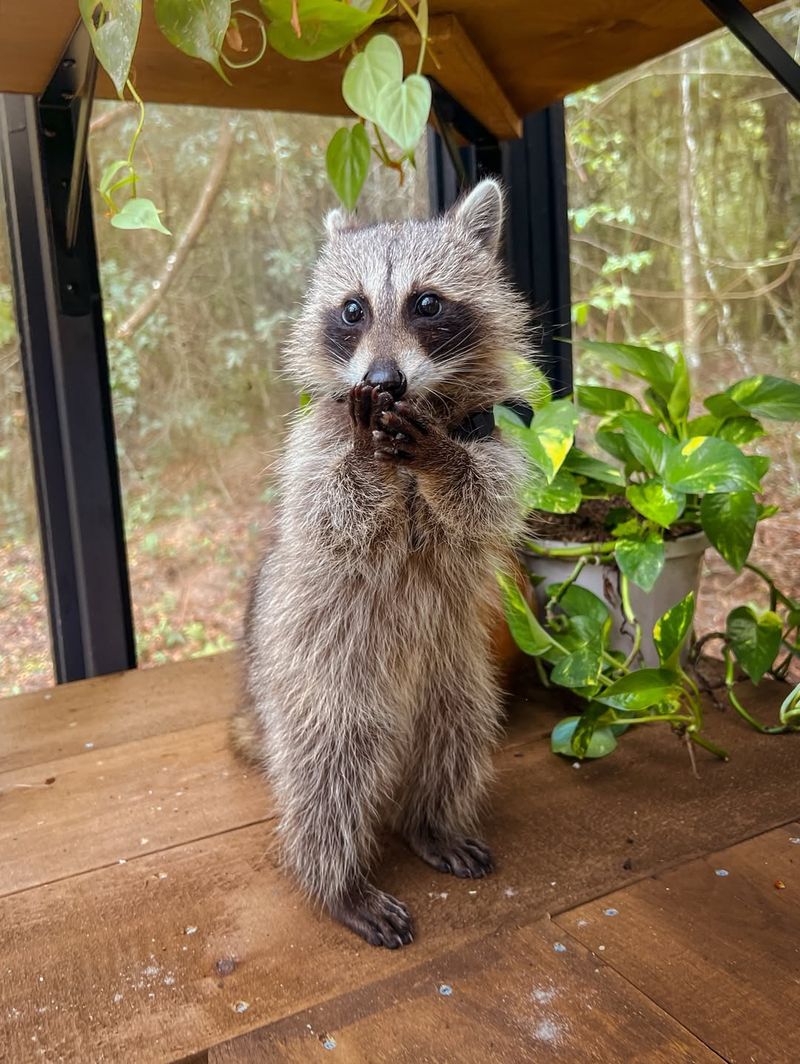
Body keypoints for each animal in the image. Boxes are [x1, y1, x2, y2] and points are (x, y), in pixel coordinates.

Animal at [235, 178, 533, 948]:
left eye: (426, 304)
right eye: (353, 309)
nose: (383, 380)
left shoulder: (496, 431)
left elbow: (486, 498)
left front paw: (443, 461)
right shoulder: (314, 441)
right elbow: (328, 511)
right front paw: (368, 452)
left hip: (457, 671)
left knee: (456, 737)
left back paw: (429, 821)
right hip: (317, 669)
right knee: (327, 770)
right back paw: (335, 880)